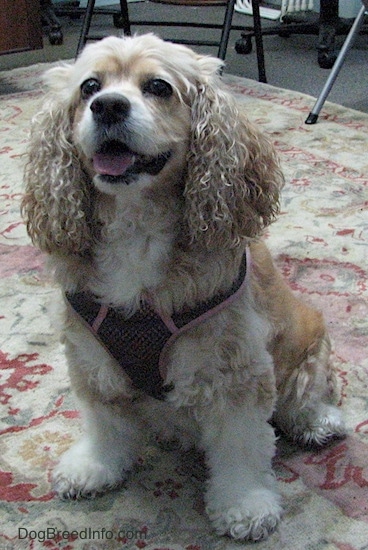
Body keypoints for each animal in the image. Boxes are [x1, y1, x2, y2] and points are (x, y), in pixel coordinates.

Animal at [22, 34, 344, 544]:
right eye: (90, 86)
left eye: (159, 87)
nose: (107, 106)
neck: (136, 227)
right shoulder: (91, 357)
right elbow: (104, 424)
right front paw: (94, 466)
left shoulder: (234, 367)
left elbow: (241, 445)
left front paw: (244, 505)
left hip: (310, 343)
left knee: (308, 394)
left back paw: (318, 421)